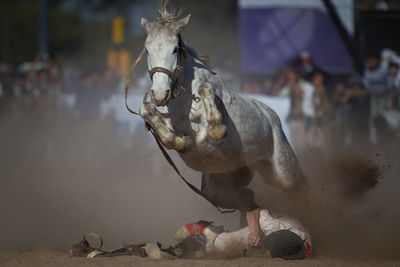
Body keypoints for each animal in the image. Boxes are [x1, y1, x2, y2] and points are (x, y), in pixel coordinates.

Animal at [137, 0, 310, 243]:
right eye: (147, 49)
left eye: (174, 48)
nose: (160, 93)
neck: (184, 100)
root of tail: (270, 114)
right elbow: (148, 113)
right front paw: (180, 141)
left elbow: (207, 96)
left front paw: (215, 127)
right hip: (223, 185)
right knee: (245, 197)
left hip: (283, 170)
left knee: (301, 190)